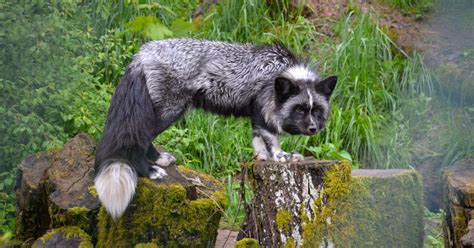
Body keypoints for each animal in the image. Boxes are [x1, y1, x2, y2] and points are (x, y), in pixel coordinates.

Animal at [93, 38, 336, 219]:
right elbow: (272, 138)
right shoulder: (265, 110)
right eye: (300, 109)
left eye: (316, 110)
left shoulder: (257, 113)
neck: (278, 72)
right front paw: (281, 157)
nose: (313, 129)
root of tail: (142, 54)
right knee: (140, 140)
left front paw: (262, 158)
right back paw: (150, 170)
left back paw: (159, 159)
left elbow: (258, 138)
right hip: (170, 111)